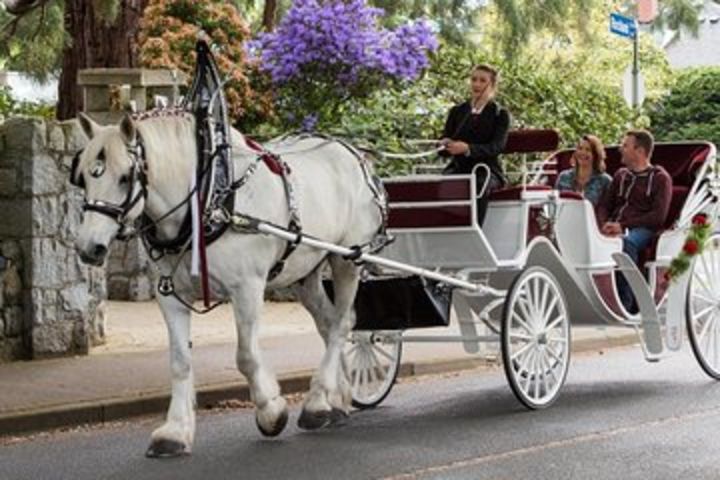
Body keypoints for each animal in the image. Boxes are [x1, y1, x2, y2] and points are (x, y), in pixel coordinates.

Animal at [74, 111, 386, 458]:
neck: (209, 200)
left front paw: (271, 411)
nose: (88, 248)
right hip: (305, 272)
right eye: (84, 177)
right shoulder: (170, 295)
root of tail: (354, 154)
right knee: (329, 324)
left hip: (347, 259)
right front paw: (175, 431)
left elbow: (246, 356)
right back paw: (336, 400)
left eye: (125, 177)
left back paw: (316, 403)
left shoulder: (247, 288)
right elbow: (180, 362)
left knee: (343, 323)